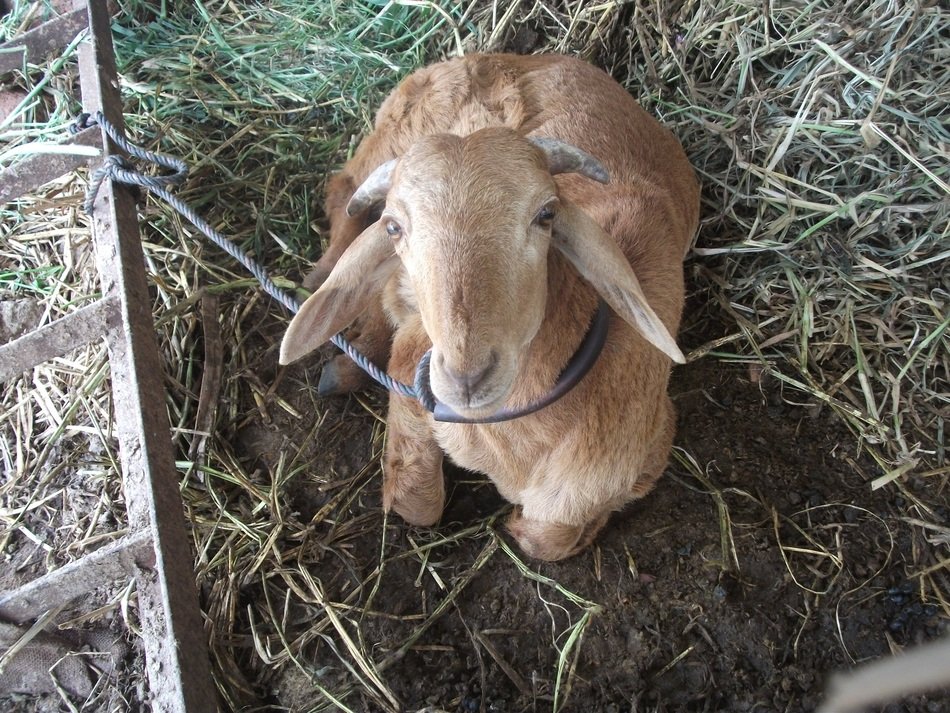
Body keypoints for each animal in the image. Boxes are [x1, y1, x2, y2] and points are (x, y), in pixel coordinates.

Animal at [280, 54, 700, 561]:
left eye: (546, 214)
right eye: (395, 227)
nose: (466, 377)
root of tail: (511, 56)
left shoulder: (650, 448)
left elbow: (546, 539)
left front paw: (534, 528)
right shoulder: (415, 363)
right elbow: (418, 507)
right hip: (396, 132)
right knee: (344, 191)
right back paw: (326, 299)